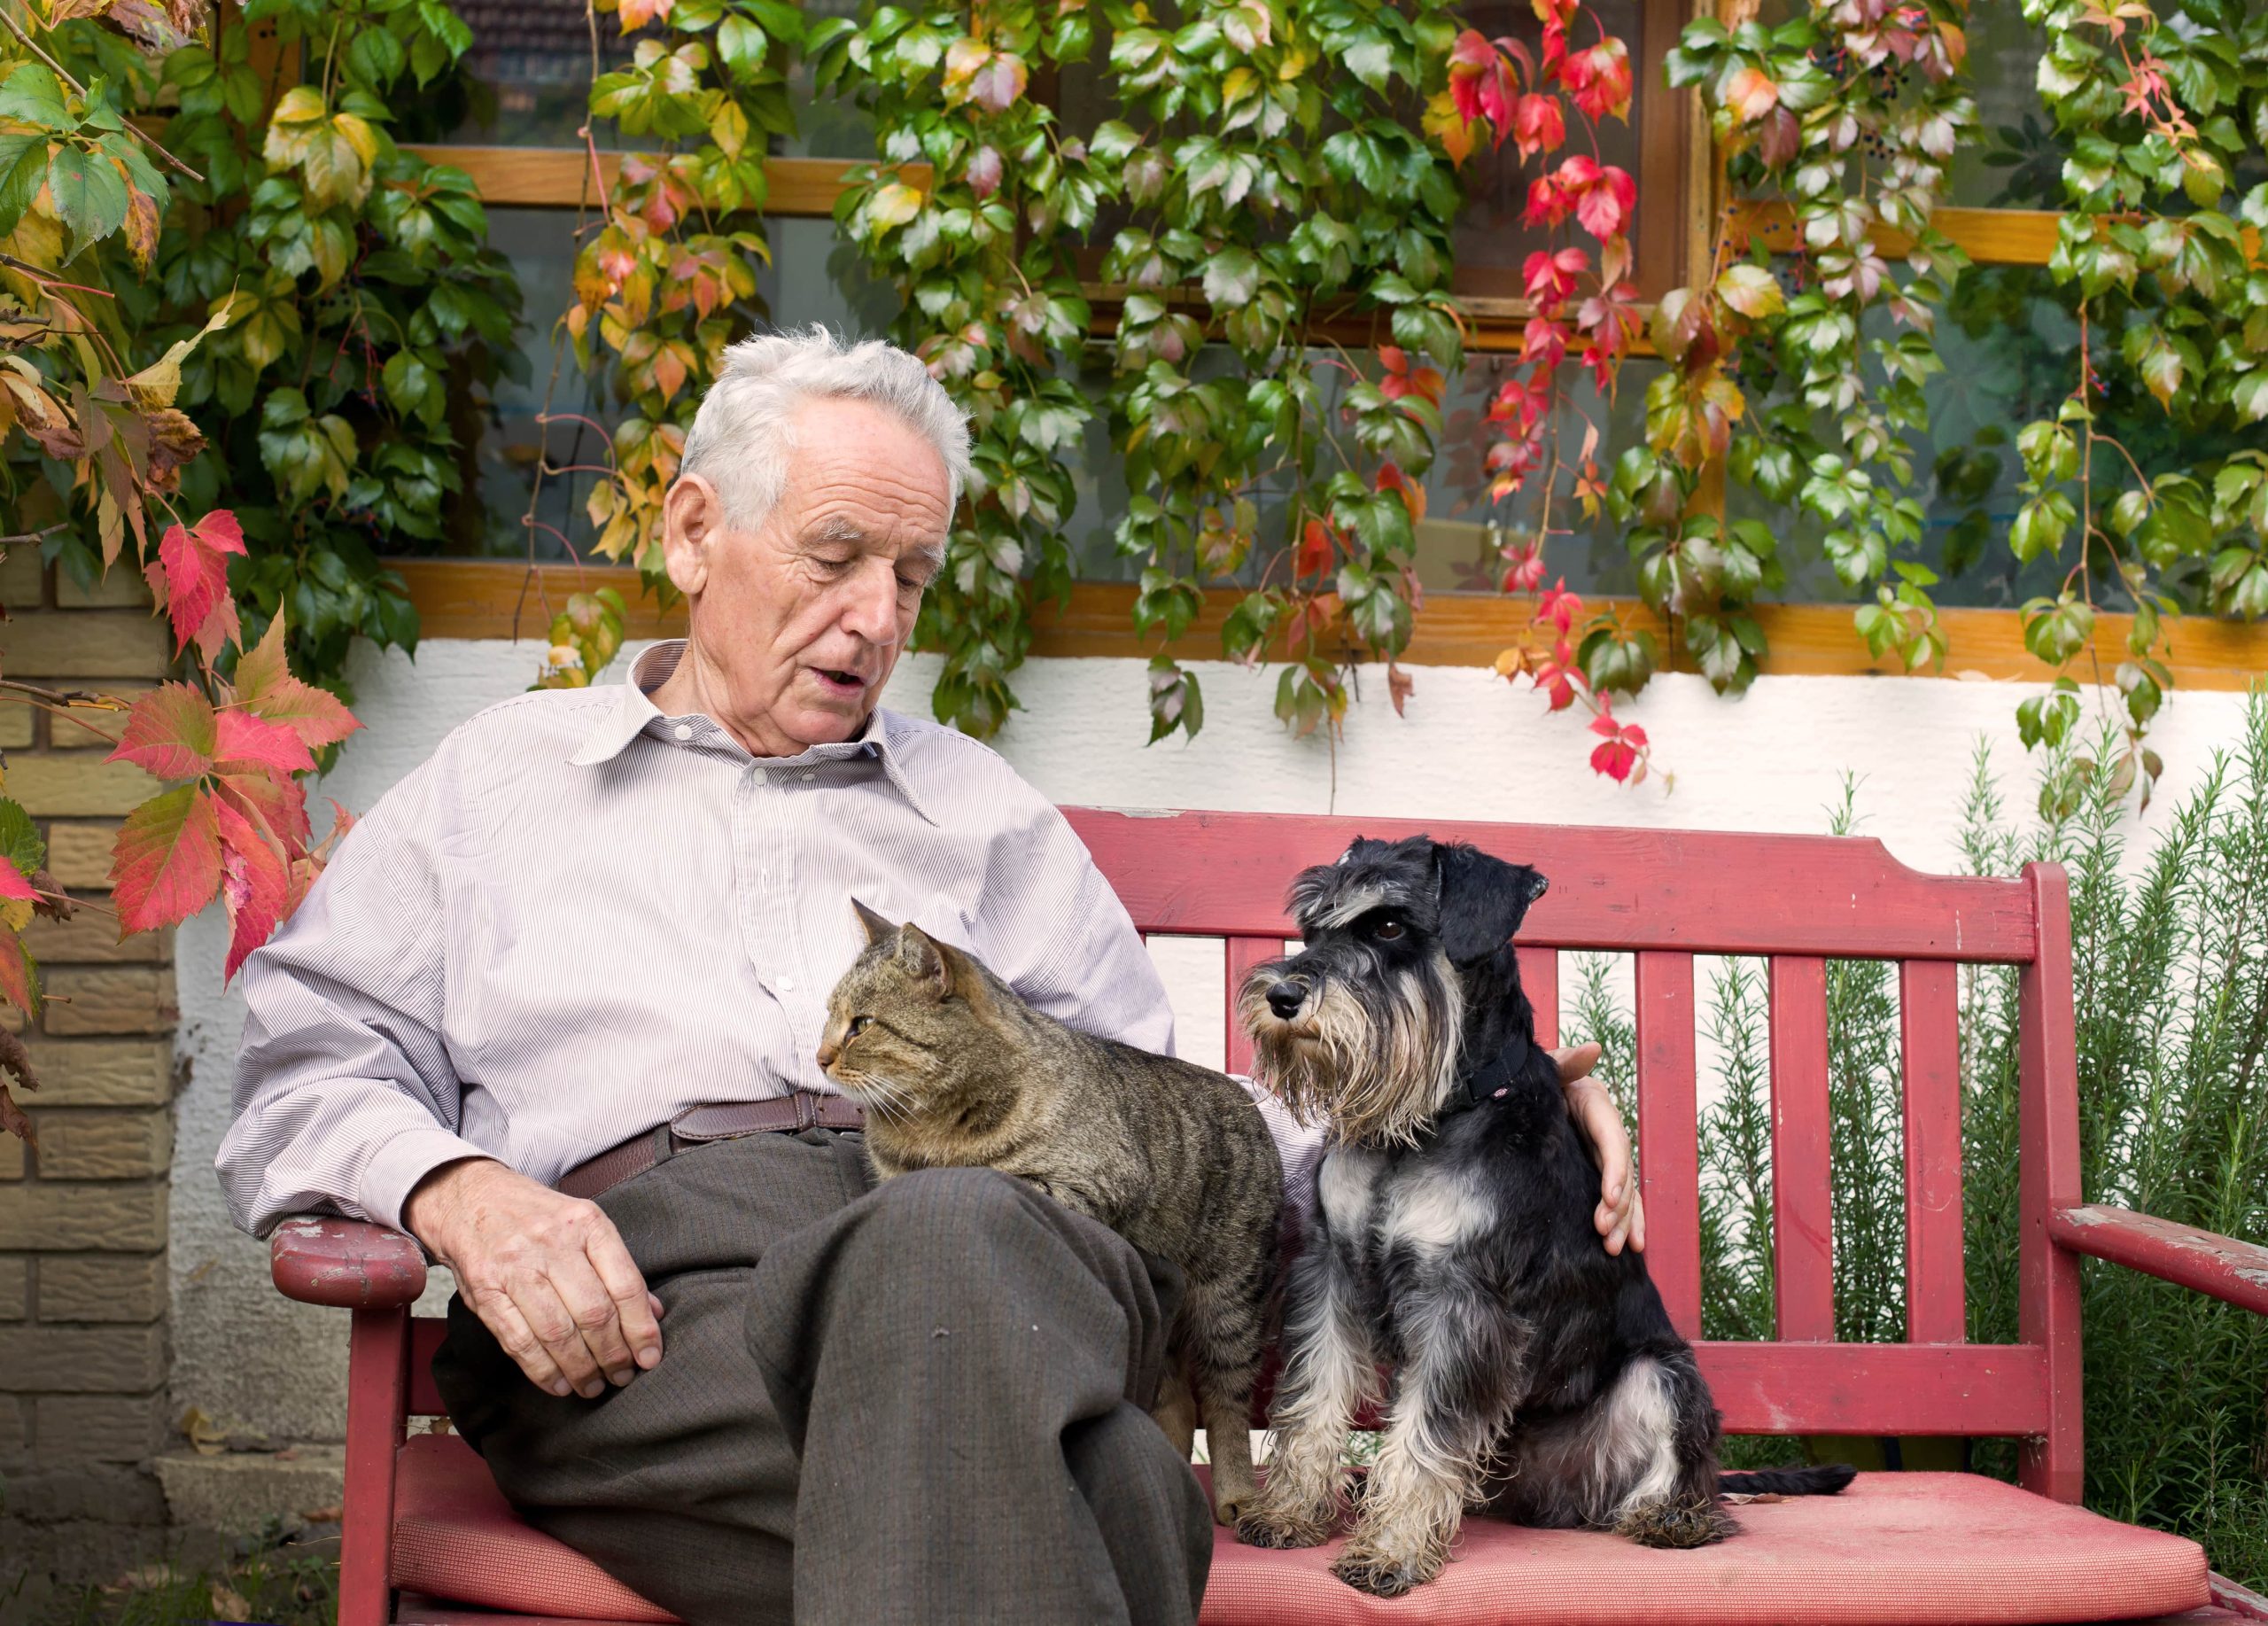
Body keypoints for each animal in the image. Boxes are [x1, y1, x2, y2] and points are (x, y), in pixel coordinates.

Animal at [816, 902, 1288, 1523]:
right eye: (828, 1018)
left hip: (1228, 1305)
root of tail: (1251, 1104)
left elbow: (991, 1178)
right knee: (1178, 1403)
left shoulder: (1087, 1182)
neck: (927, 1131)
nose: (818, 1056)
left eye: (862, 1024)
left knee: (1224, 1403)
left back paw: (1236, 1495)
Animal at [1233, 829, 1850, 1596]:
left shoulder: (1462, 1299)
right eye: (1313, 927)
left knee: (1690, 1474)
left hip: (1662, 1375)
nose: (1283, 993)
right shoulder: (1333, 1274)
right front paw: (1290, 1511)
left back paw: (1669, 1515)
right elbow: (1314, 1396)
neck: (1431, 1117)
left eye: (1389, 925)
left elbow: (1423, 1433)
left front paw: (1390, 1550)